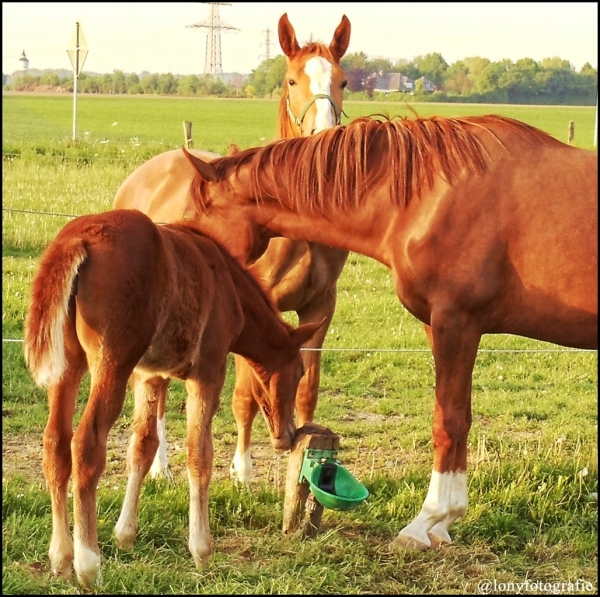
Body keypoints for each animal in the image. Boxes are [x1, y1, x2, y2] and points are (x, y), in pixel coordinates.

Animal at [22, 210, 324, 588]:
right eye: (298, 371)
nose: (288, 435)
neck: (224, 281)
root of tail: (79, 238)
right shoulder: (207, 372)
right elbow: (200, 453)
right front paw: (202, 550)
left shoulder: (150, 375)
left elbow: (143, 445)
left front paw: (125, 535)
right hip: (112, 363)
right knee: (86, 443)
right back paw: (88, 565)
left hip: (68, 365)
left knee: (55, 443)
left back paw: (61, 558)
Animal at [112, 11, 352, 482]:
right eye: (292, 80)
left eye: (343, 80)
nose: (324, 138)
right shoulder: (256, 303)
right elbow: (246, 391)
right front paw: (243, 468)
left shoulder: (320, 308)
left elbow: (308, 387)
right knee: (154, 392)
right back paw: (161, 465)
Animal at [180, 114, 596, 552]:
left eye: (196, 214)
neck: (427, 197)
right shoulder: (442, 326)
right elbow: (461, 418)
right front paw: (445, 523)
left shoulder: (456, 323)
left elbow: (447, 422)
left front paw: (426, 521)